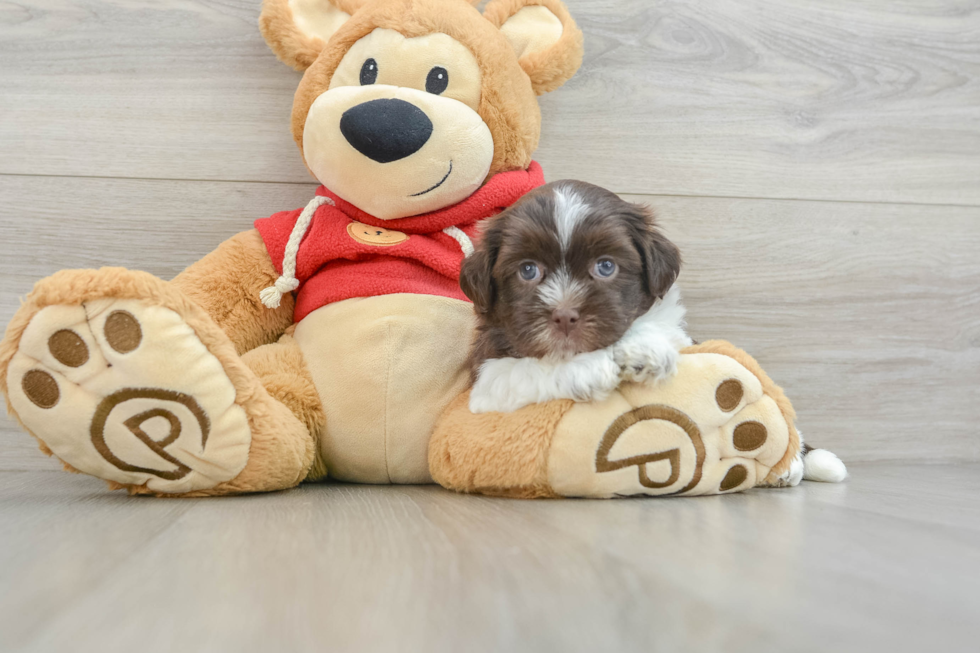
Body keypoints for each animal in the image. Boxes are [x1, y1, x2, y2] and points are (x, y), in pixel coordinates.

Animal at [460, 180, 688, 412]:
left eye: (606, 266)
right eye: (527, 270)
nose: (564, 317)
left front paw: (644, 349)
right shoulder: (486, 379)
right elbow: (526, 369)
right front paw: (589, 368)